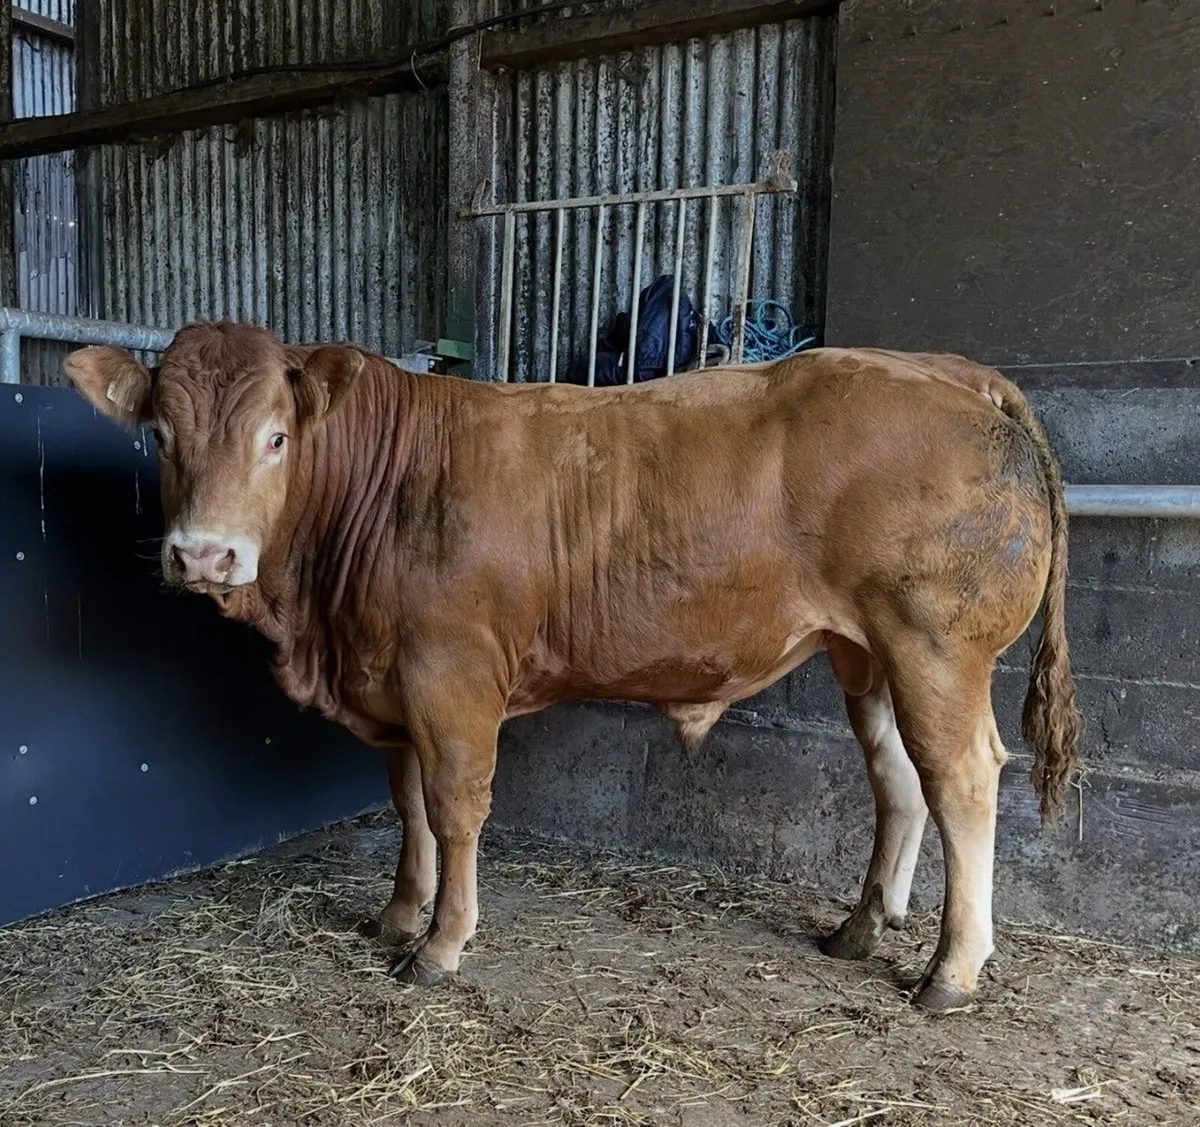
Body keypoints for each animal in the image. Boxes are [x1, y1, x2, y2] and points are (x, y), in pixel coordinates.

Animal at [63, 324, 1082, 1012]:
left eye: (276, 437)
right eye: (159, 435)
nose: (204, 556)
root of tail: (949, 369)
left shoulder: (451, 673)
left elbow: (455, 807)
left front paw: (440, 943)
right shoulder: (392, 682)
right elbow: (407, 806)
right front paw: (399, 911)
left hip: (935, 646)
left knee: (961, 780)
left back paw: (951, 969)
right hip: (864, 652)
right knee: (897, 780)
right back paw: (862, 927)